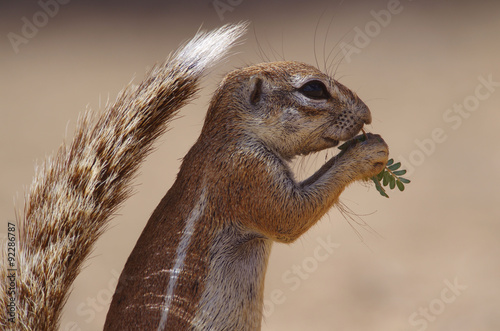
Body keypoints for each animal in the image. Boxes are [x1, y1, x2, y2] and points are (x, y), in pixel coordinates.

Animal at [0, 22, 388, 330]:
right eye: (313, 89)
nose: (367, 114)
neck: (226, 137)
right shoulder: (246, 172)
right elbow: (289, 218)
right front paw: (368, 153)